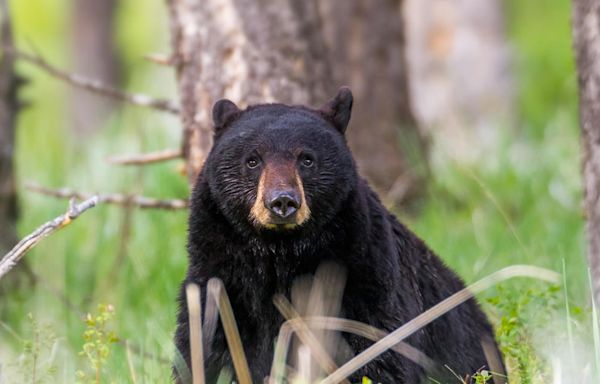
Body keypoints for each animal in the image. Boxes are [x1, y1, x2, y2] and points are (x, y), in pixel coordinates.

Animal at [176, 88, 504, 384]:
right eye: (253, 160)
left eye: (306, 159)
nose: (282, 202)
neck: (280, 255)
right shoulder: (221, 277)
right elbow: (202, 343)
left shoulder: (363, 274)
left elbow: (379, 347)